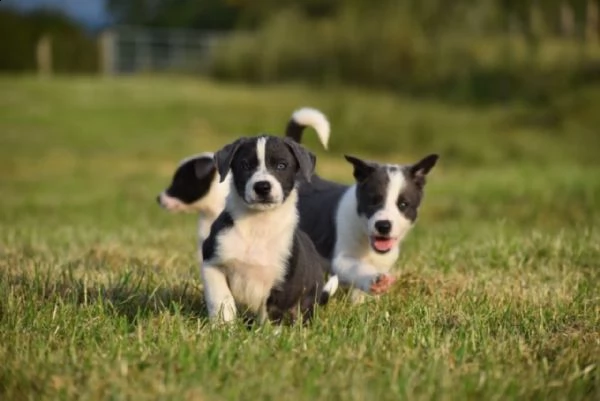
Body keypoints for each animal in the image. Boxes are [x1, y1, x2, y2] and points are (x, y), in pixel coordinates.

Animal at [202, 136, 332, 324]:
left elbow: (270, 315)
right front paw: (224, 326)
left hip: (309, 296)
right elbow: (220, 299)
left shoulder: (282, 282)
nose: (262, 186)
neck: (258, 225)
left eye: (281, 165)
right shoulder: (212, 261)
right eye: (245, 165)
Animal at [298, 155, 438, 298]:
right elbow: (357, 267)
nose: (383, 226)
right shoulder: (341, 259)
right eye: (373, 201)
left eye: (403, 204)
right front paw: (374, 279)